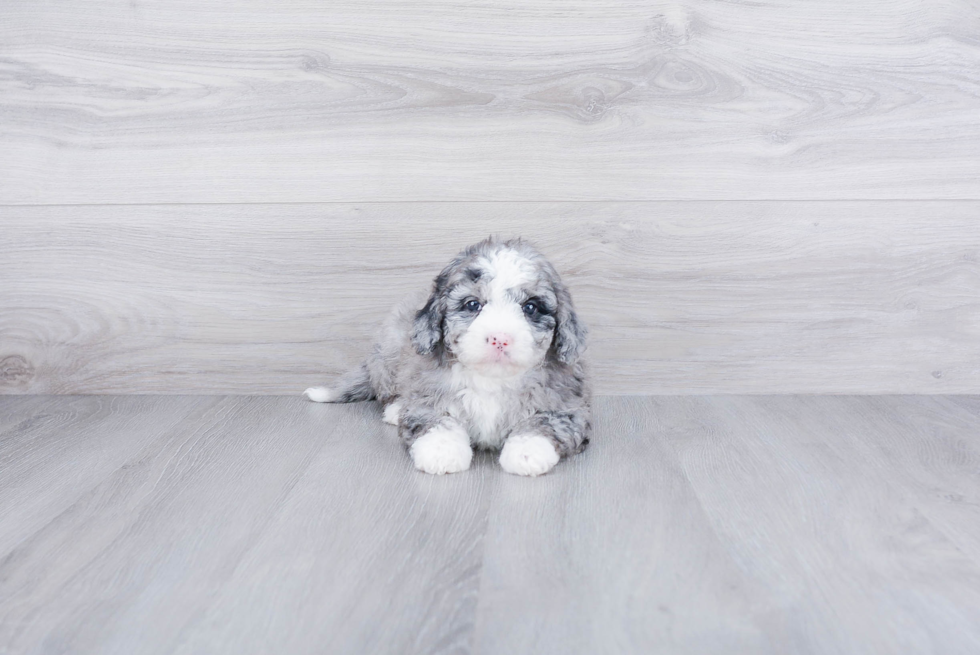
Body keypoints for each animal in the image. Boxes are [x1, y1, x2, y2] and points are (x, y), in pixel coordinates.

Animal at [302, 237, 588, 476]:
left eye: (530, 307)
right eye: (473, 305)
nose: (500, 338)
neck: (491, 379)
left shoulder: (566, 408)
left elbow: (541, 425)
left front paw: (526, 453)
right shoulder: (430, 397)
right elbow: (438, 423)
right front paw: (441, 452)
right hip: (390, 354)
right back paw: (395, 409)